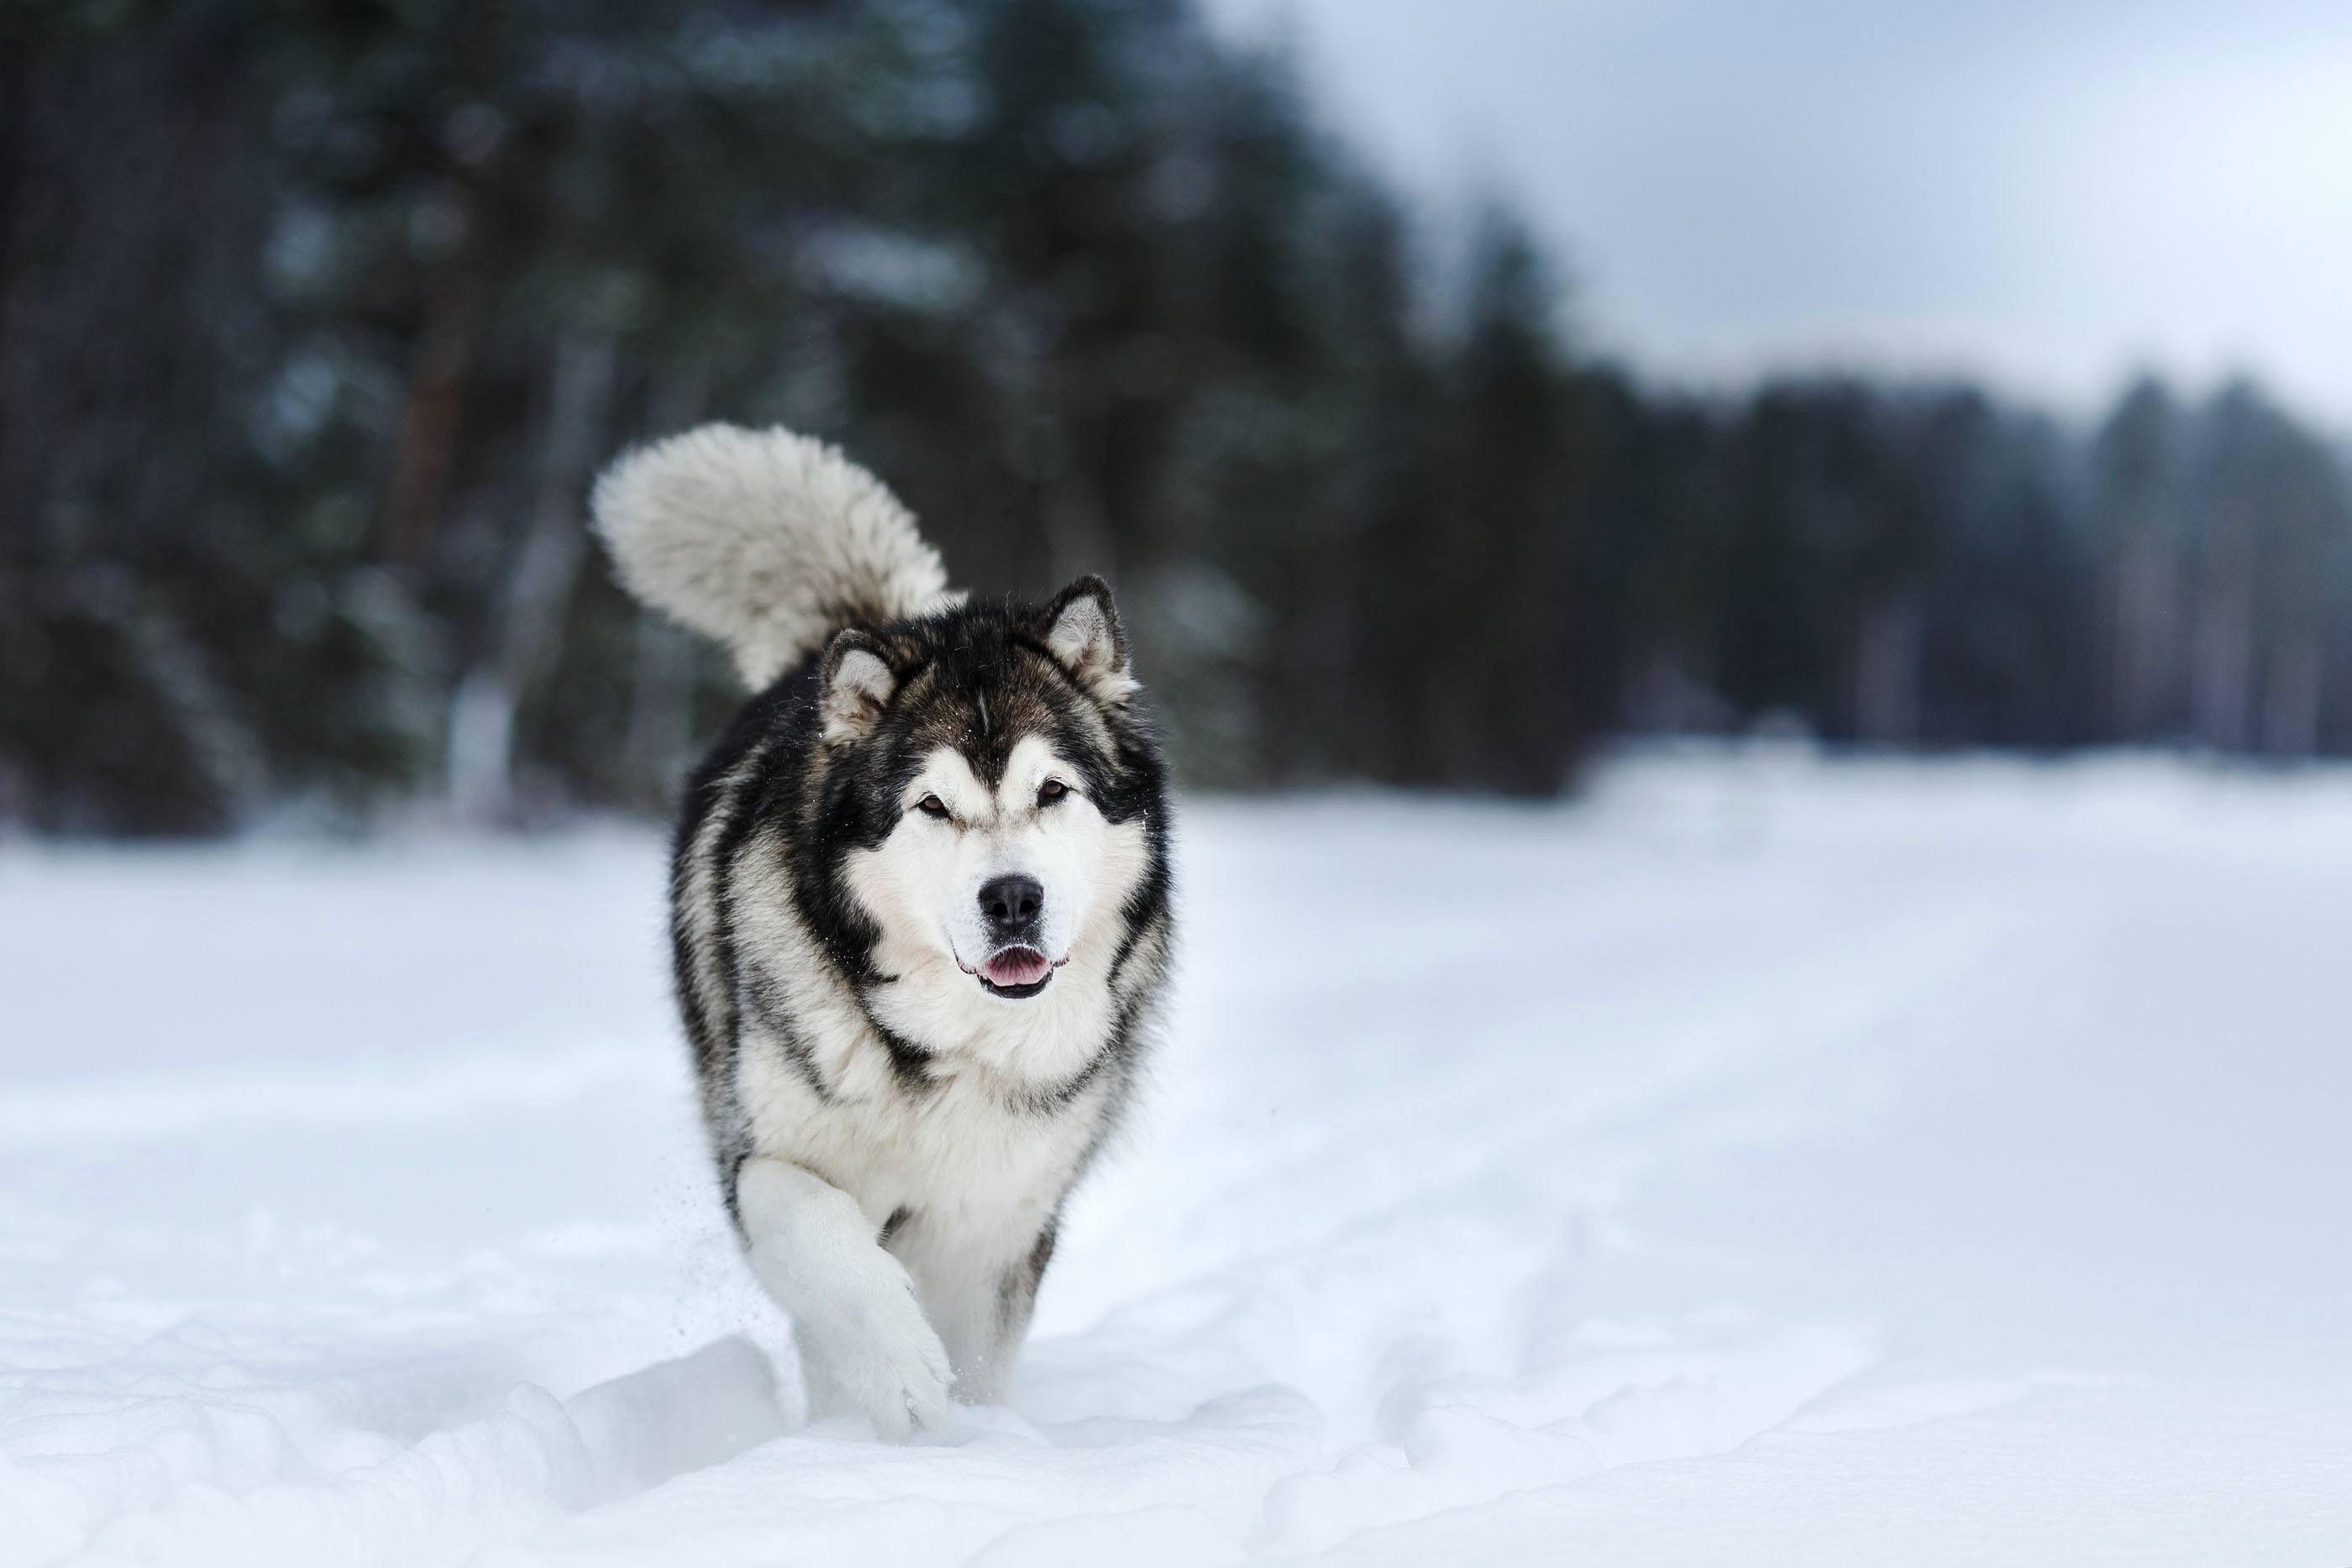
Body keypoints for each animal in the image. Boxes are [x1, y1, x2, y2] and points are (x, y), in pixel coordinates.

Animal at [592, 425, 1171, 1439]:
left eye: (1052, 790)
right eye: (932, 805)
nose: (1012, 899)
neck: (944, 1050)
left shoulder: (997, 1221)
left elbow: (980, 1354)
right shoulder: (764, 1160)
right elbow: (831, 1248)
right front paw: (899, 1372)